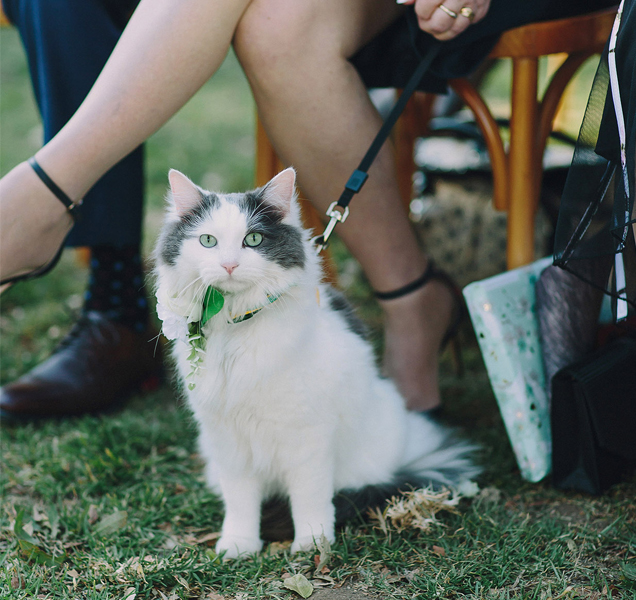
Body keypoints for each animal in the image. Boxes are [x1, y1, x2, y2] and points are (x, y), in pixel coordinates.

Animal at [154, 165, 480, 556]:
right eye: (207, 241)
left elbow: (308, 497)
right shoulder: (227, 439)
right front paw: (238, 545)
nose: (229, 265)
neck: (237, 328)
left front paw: (312, 543)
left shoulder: (307, 434)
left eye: (253, 240)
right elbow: (240, 501)